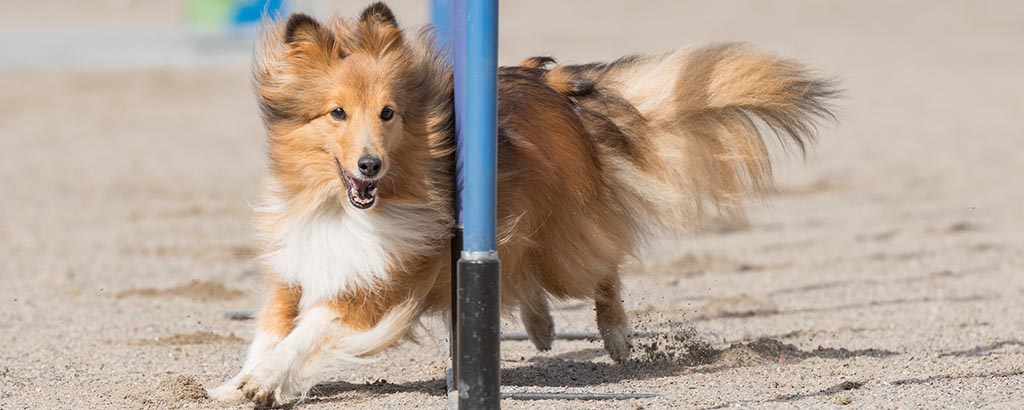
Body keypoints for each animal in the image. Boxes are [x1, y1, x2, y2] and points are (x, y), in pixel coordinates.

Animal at [205, 2, 831, 405]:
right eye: (336, 113)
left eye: (388, 113)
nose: (369, 166)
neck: (342, 206)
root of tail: (547, 83)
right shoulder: (296, 271)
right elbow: (271, 332)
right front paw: (239, 383)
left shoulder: (372, 290)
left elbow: (305, 336)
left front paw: (265, 381)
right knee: (527, 272)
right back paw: (542, 326)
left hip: (563, 242)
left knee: (603, 263)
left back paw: (615, 335)